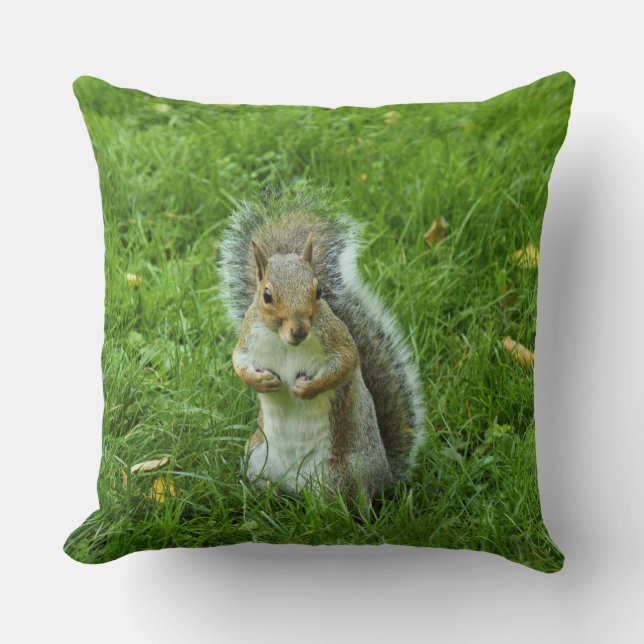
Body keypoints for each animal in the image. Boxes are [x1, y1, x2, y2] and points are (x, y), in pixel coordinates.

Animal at [218, 189, 424, 499]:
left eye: (318, 291)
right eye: (266, 295)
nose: (299, 329)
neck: (285, 343)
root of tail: (384, 476)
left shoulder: (337, 339)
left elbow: (346, 363)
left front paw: (307, 388)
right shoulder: (248, 338)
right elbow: (238, 363)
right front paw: (261, 382)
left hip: (343, 475)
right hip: (256, 455)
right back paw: (265, 491)